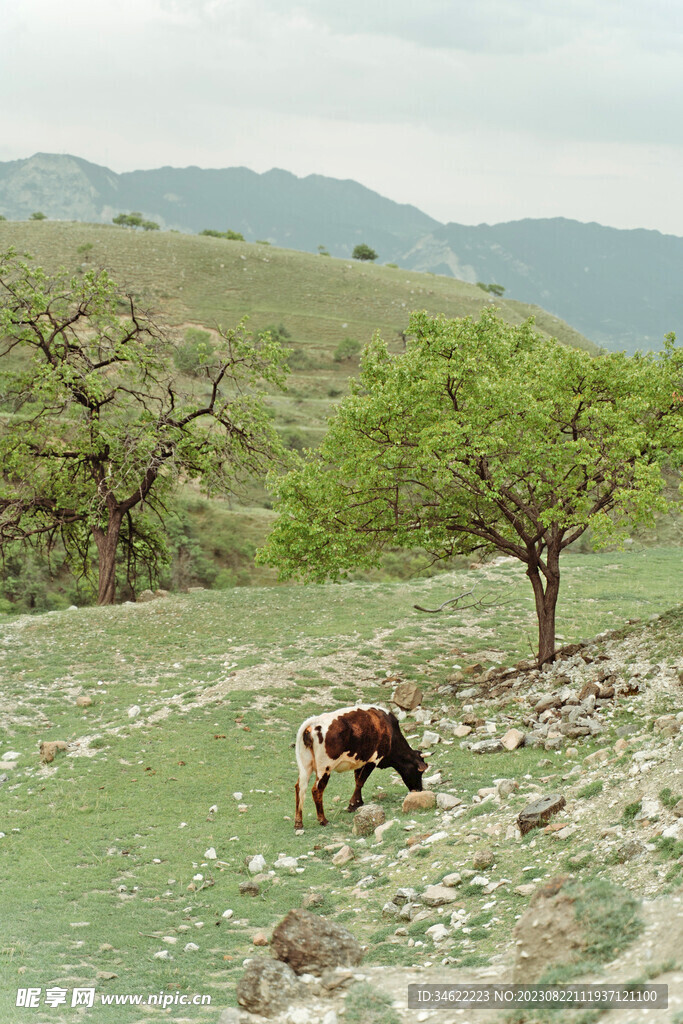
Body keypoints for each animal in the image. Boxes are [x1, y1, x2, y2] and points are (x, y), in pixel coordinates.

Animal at [294, 704, 428, 831]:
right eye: (419, 772)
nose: (419, 789)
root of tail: (313, 722)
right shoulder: (373, 759)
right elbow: (361, 781)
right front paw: (354, 804)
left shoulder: (360, 762)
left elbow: (357, 780)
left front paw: (357, 803)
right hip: (325, 767)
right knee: (317, 790)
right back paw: (323, 820)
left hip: (305, 766)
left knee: (300, 788)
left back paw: (298, 823)